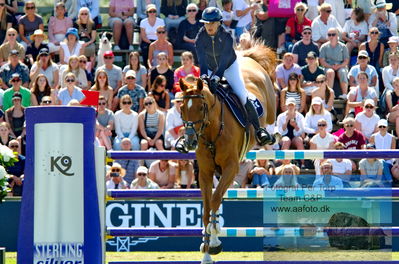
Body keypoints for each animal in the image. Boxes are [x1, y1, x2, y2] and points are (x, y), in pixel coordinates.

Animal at [179, 38, 276, 262]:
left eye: (201, 107)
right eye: (182, 109)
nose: (190, 142)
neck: (212, 132)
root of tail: (248, 58)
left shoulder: (231, 167)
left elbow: (215, 200)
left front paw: (214, 241)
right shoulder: (205, 172)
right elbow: (207, 207)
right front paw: (206, 251)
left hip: (271, 107)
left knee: (273, 116)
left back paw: (268, 134)